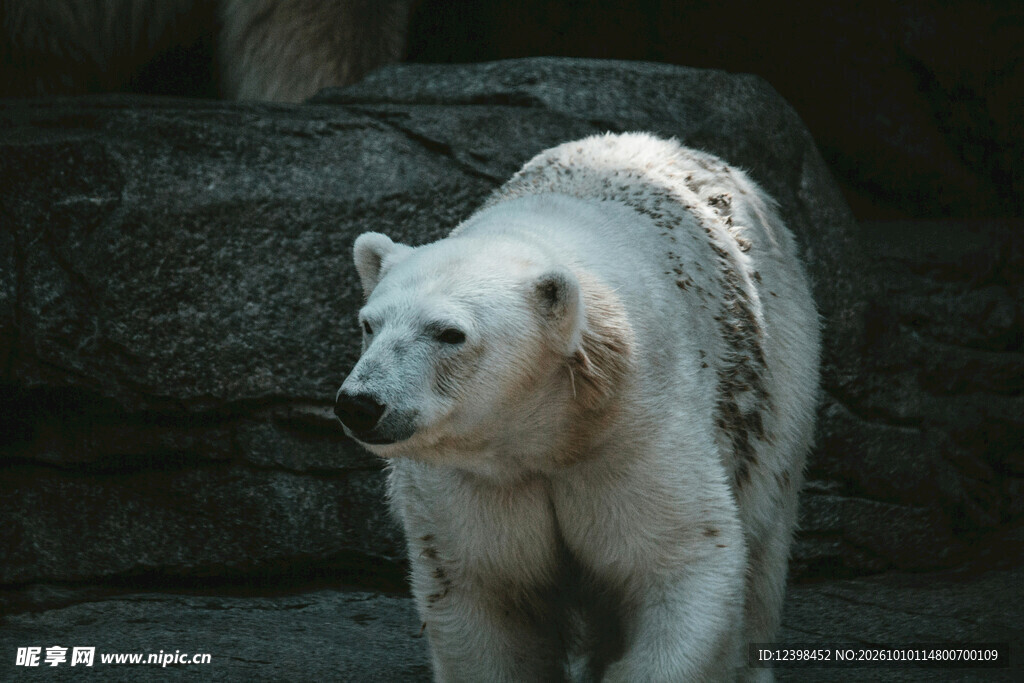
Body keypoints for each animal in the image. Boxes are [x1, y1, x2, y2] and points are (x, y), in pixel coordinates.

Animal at [335, 132, 821, 682]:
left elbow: (680, 557)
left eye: (449, 333)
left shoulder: (635, 431)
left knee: (766, 535)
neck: (549, 427)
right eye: (369, 323)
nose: (359, 404)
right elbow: (485, 589)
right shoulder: (477, 481)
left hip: (785, 369)